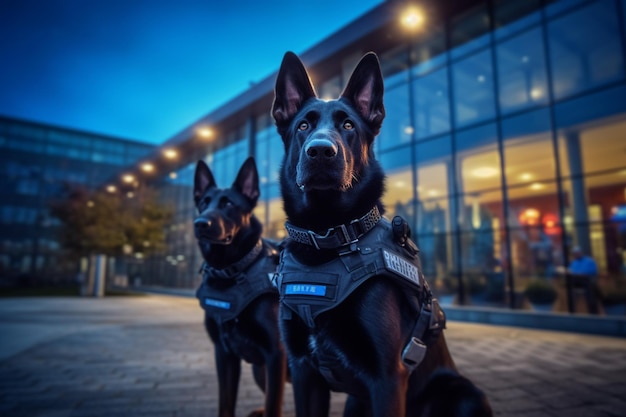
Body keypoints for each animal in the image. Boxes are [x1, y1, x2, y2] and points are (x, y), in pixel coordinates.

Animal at [193, 156, 288, 416]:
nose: (200, 223)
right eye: (203, 203)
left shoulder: (276, 354)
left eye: (228, 204)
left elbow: (275, 405)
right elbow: (225, 405)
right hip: (258, 370)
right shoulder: (224, 355)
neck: (231, 271)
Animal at [270, 52, 490, 416]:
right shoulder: (304, 372)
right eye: (303, 126)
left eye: (348, 126)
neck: (328, 237)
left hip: (465, 394)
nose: (320, 151)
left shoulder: (387, 377)